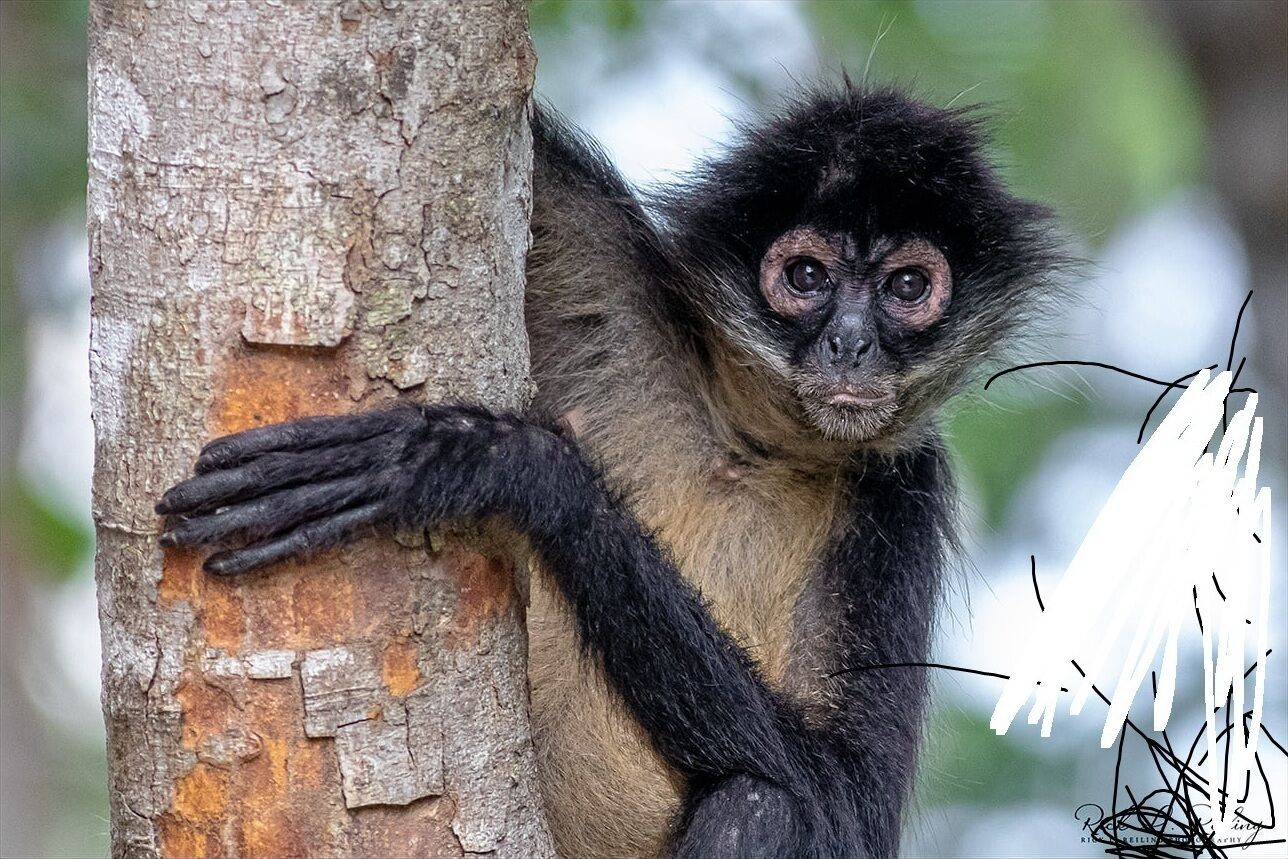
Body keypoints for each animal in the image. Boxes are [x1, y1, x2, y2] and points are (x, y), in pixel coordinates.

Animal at [157, 84, 1062, 858]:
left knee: (763, 802)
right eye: (806, 276)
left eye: (908, 286)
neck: (746, 441)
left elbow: (846, 803)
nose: (851, 343)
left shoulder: (900, 491)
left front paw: (485, 459)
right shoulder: (614, 278)